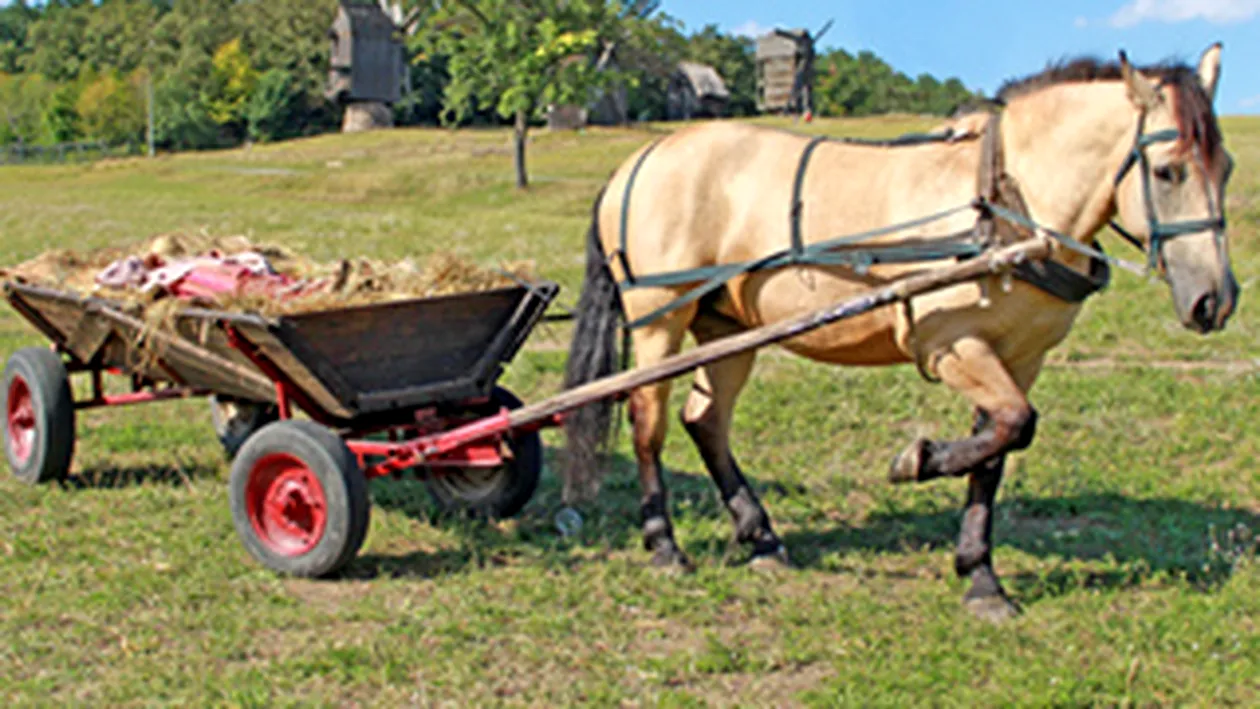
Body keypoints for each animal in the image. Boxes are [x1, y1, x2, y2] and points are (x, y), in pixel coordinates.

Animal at [561, 45, 1239, 622]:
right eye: (1168, 171)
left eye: (1225, 166)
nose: (1217, 300)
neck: (1004, 204)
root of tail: (636, 163)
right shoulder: (950, 346)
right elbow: (1013, 425)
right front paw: (917, 461)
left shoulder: (1019, 357)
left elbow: (997, 448)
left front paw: (980, 576)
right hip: (659, 319)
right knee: (647, 421)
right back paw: (664, 546)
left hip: (725, 326)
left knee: (705, 422)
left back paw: (762, 537)